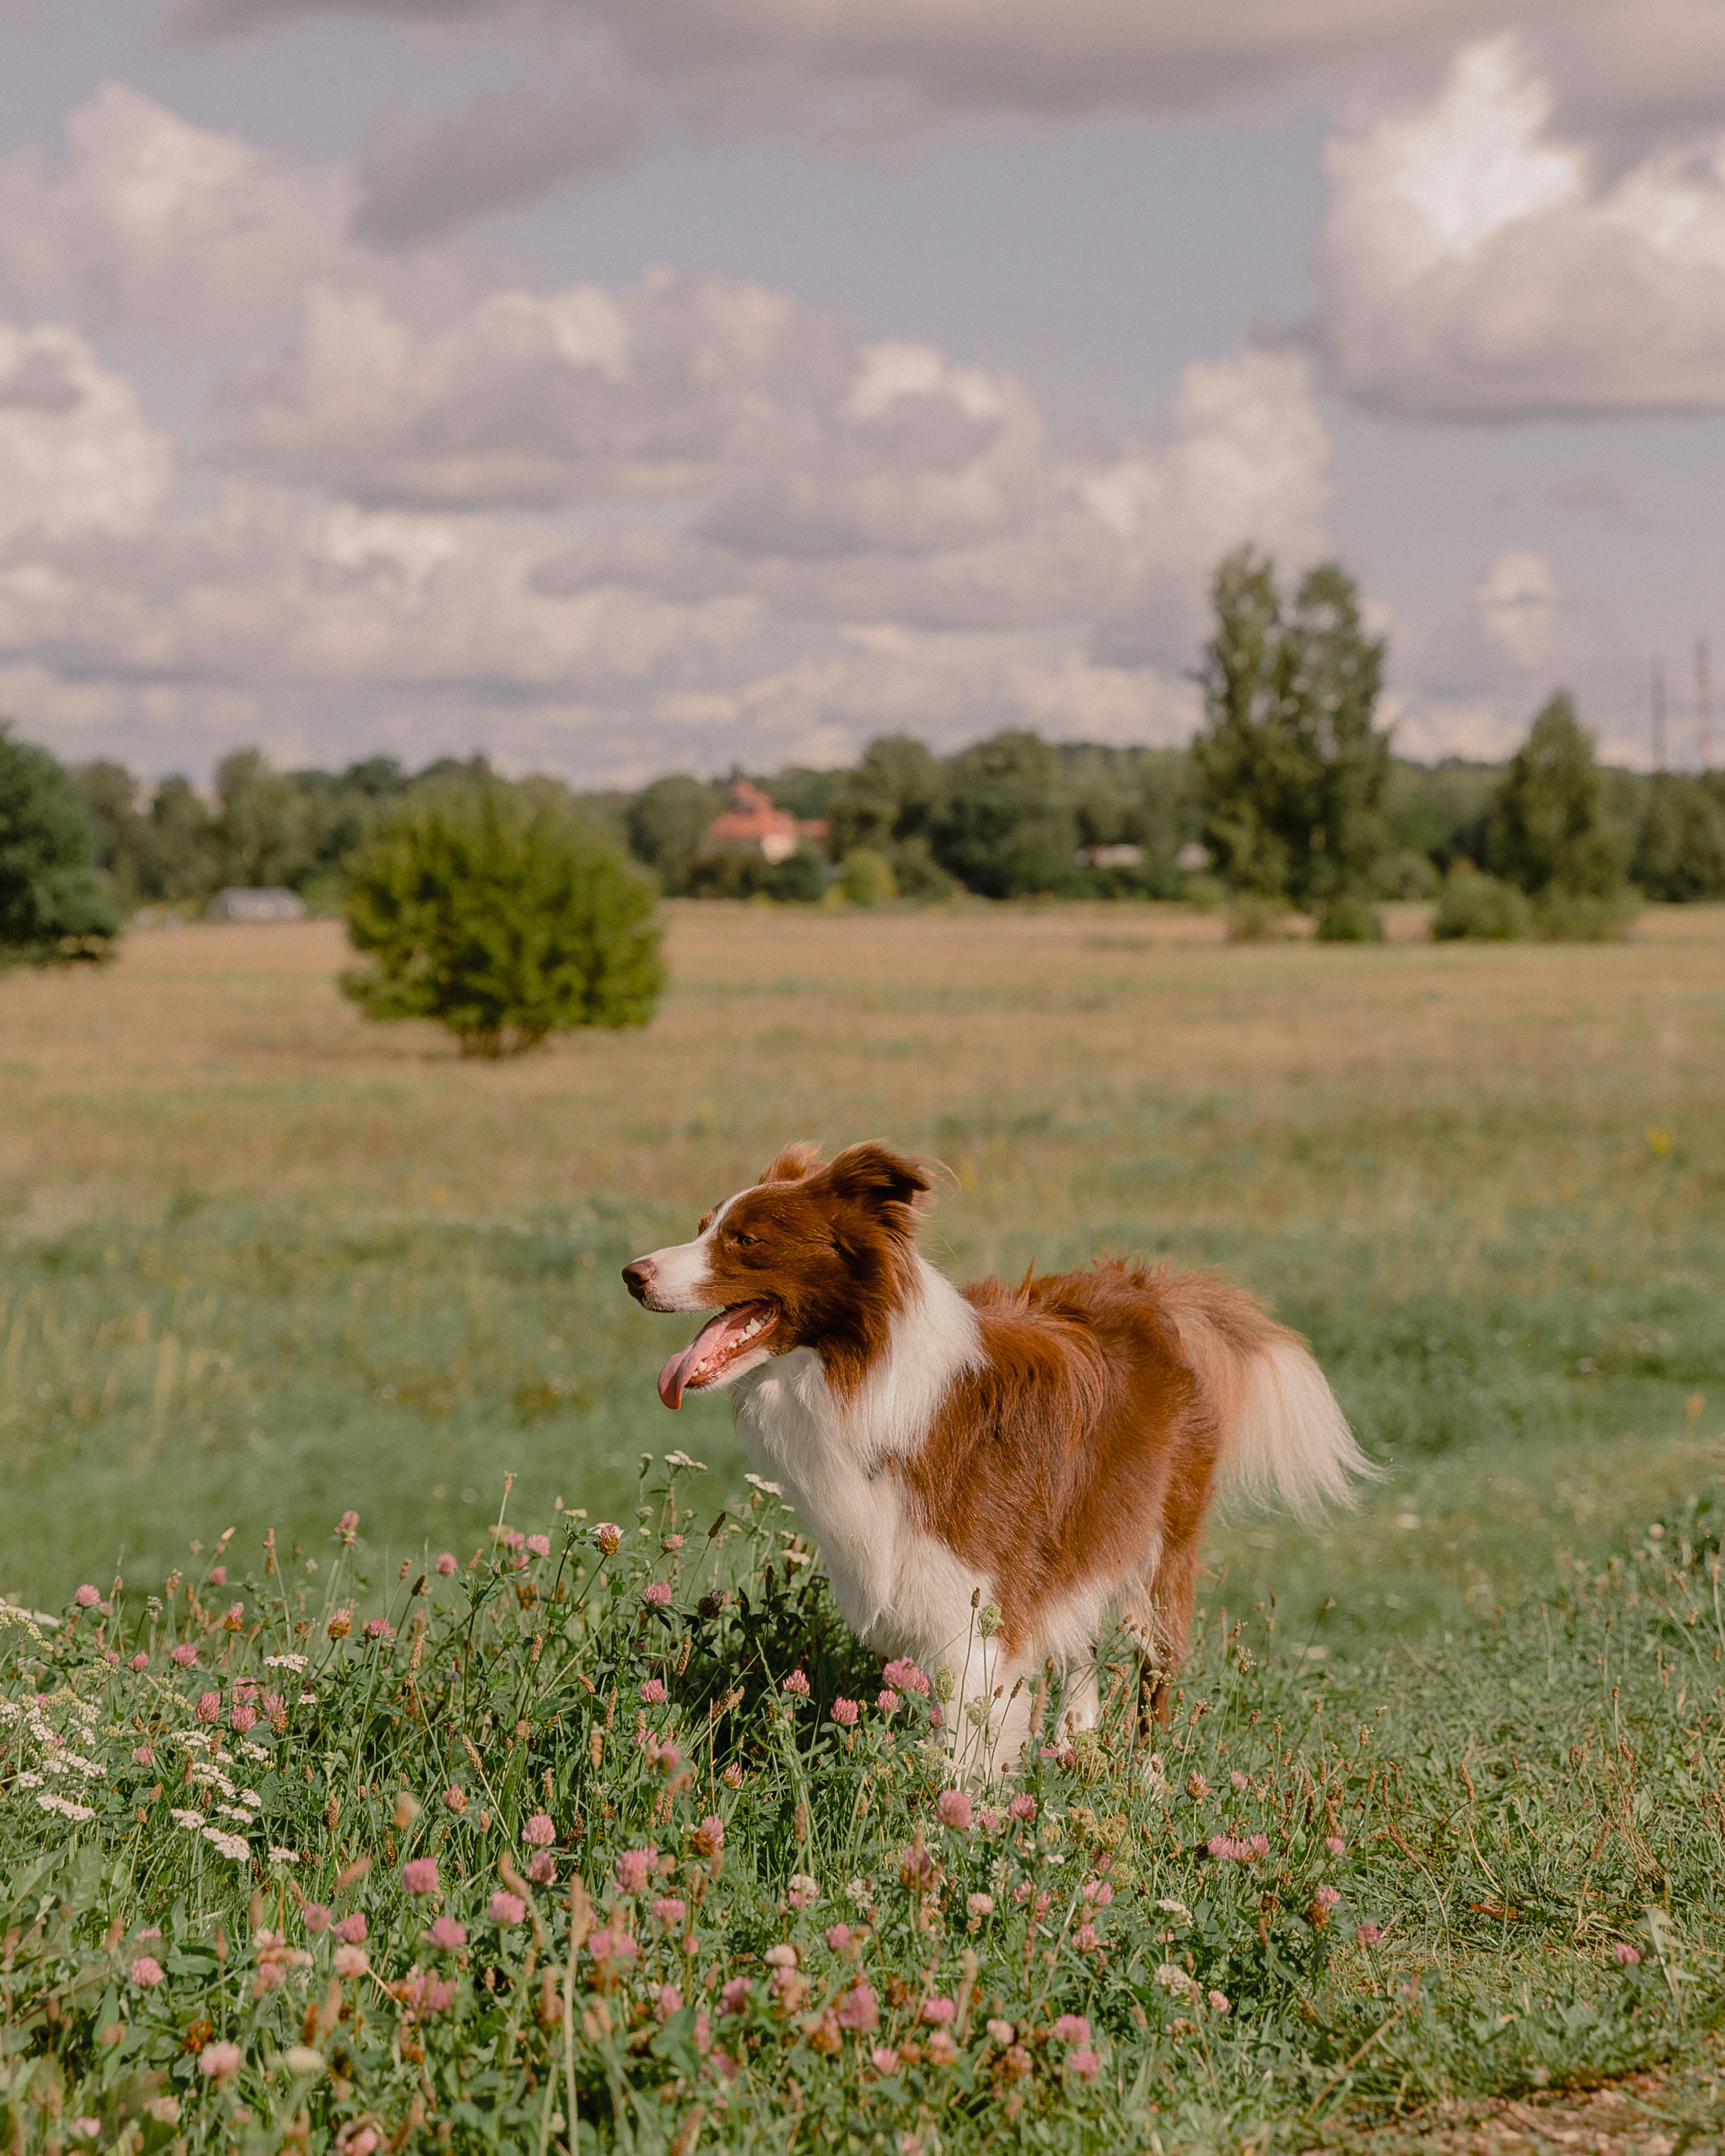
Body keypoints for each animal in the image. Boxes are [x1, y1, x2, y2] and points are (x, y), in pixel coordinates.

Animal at [625, 1138, 1371, 1776]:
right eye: (703, 1225)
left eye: (745, 1240)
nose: (632, 1275)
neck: (861, 1375)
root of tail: (1148, 1289)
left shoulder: (976, 1607)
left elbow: (966, 1746)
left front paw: (952, 1829)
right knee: (1081, 1641)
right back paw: (1076, 1744)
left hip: (1160, 1542)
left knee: (1154, 1664)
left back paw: (1149, 1780)